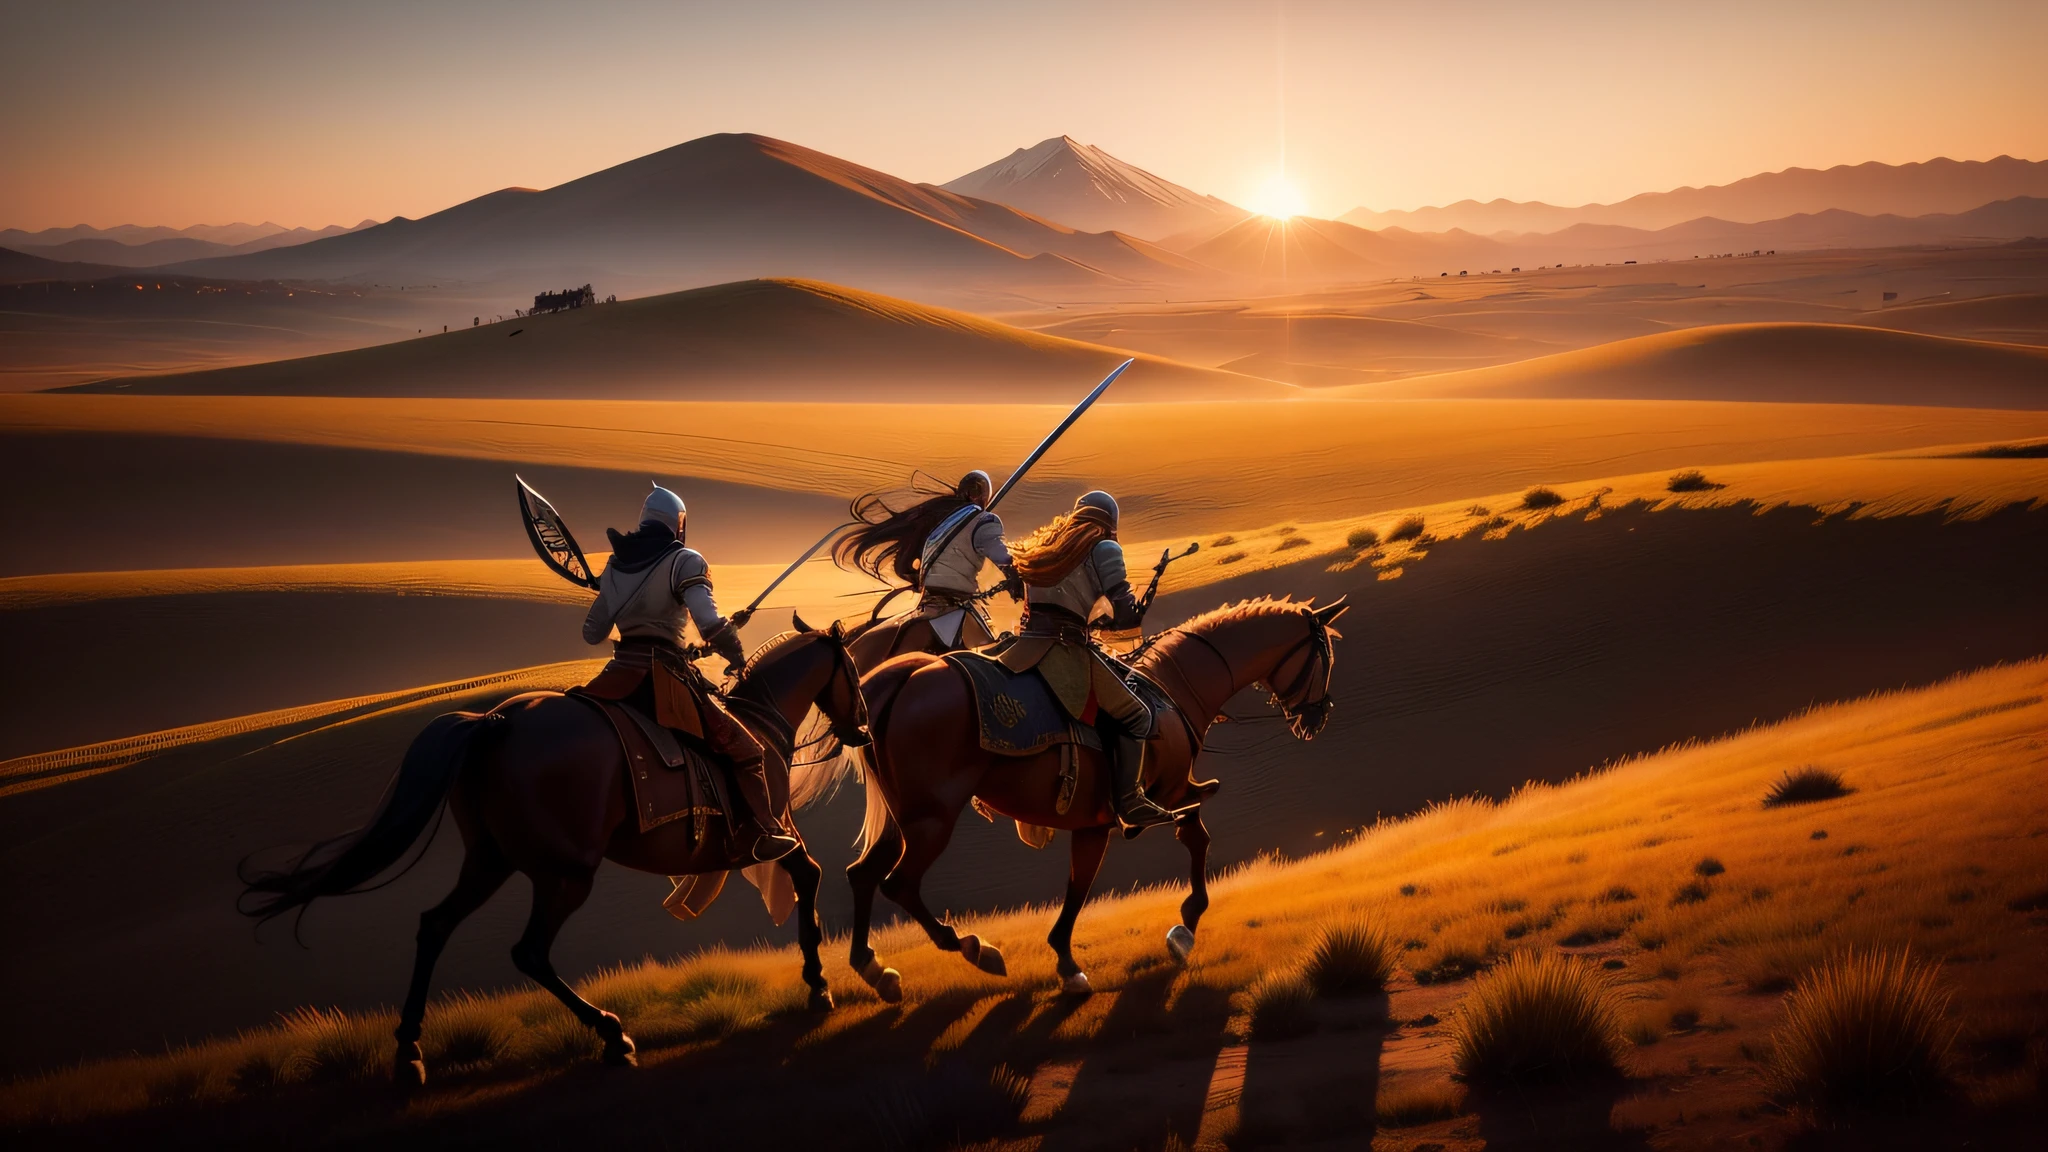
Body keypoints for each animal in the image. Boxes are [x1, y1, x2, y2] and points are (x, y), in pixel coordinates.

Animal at [241, 619, 872, 1074]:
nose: (862, 729)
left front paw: (821, 978)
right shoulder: (772, 834)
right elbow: (810, 876)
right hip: (566, 873)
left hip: (490, 861)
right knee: (529, 952)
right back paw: (613, 1035)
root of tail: (494, 722)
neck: (761, 726)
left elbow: (809, 878)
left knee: (435, 925)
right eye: (854, 671)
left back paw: (409, 1051)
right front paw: (818, 983)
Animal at [794, 594, 1343, 1000]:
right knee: (898, 883)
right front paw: (1180, 929)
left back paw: (875, 969)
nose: (1317, 717)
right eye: (1324, 658)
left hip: (901, 817)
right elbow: (1184, 844)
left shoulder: (1101, 820)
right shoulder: (1155, 799)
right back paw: (973, 948)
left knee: (863, 874)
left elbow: (1088, 882)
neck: (1172, 688)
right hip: (931, 820)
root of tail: (897, 679)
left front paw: (1070, 957)